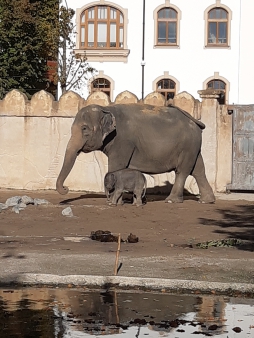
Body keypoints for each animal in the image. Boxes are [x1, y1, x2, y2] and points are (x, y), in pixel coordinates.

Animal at [56, 103, 214, 203]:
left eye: (84, 129)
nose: (66, 188)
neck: (106, 108)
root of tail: (194, 121)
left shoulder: (122, 141)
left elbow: (116, 167)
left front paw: (113, 201)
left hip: (187, 146)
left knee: (183, 171)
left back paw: (171, 200)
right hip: (193, 146)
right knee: (198, 170)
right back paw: (206, 201)